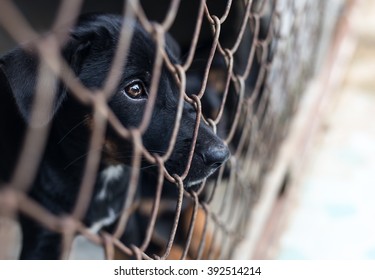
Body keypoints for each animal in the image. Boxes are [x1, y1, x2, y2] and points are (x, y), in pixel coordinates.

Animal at [0, 14, 229, 260]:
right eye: (135, 89)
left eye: (181, 84)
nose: (221, 156)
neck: (105, 173)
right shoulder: (46, 237)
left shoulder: (126, 229)